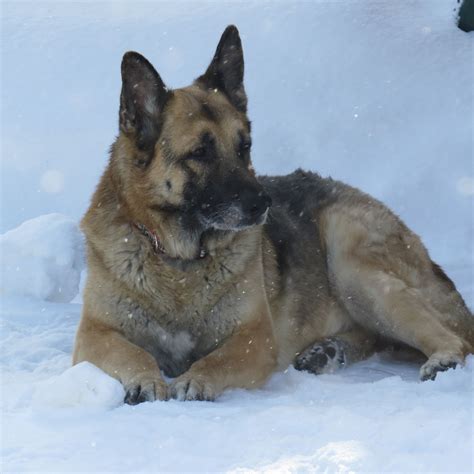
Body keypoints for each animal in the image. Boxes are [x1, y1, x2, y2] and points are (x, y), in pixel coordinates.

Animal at [72, 25, 472, 404]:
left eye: (244, 146)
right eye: (200, 152)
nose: (263, 203)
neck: (178, 259)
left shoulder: (254, 338)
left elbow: (215, 360)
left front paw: (196, 380)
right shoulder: (94, 335)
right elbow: (134, 354)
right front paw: (146, 379)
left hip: (351, 262)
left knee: (455, 338)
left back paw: (442, 359)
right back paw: (329, 350)